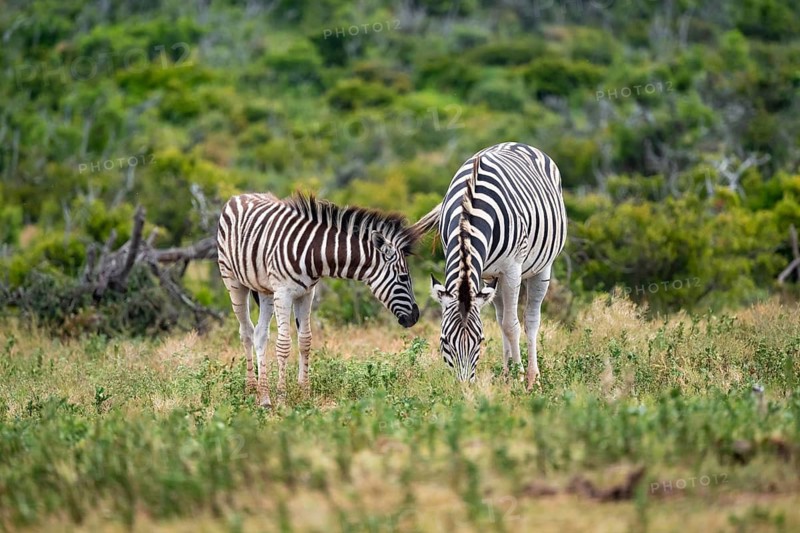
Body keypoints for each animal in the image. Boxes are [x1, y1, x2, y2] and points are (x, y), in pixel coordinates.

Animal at [217, 192, 423, 407]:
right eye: (403, 278)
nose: (415, 316)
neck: (312, 252)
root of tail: (240, 196)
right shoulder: (283, 292)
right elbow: (284, 344)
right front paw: (282, 398)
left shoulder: (307, 293)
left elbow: (305, 340)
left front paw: (304, 392)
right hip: (233, 281)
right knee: (246, 332)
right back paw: (250, 391)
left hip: (265, 290)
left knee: (260, 334)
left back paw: (264, 397)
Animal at [428, 142, 567, 389]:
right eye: (444, 341)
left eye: (480, 341)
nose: (464, 389)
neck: (468, 215)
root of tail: (517, 143)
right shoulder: (481, 271)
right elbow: (502, 323)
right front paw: (510, 374)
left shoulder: (512, 270)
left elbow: (512, 325)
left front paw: (520, 377)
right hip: (493, 276)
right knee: (502, 317)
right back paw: (506, 373)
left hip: (542, 267)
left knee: (530, 321)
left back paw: (533, 378)